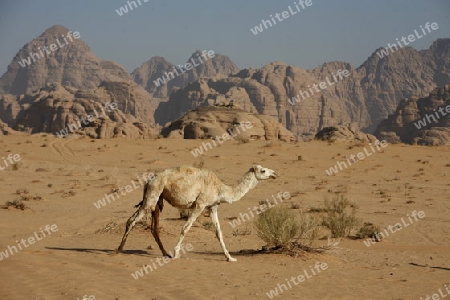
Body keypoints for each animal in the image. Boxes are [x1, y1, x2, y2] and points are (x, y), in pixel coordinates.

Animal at [116, 164, 276, 260]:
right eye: (263, 170)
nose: (274, 173)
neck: (220, 189)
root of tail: (149, 181)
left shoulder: (212, 207)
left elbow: (218, 232)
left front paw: (230, 257)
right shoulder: (200, 204)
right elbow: (185, 227)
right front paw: (176, 253)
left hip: (157, 200)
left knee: (153, 228)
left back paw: (164, 253)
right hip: (153, 194)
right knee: (132, 220)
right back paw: (119, 249)